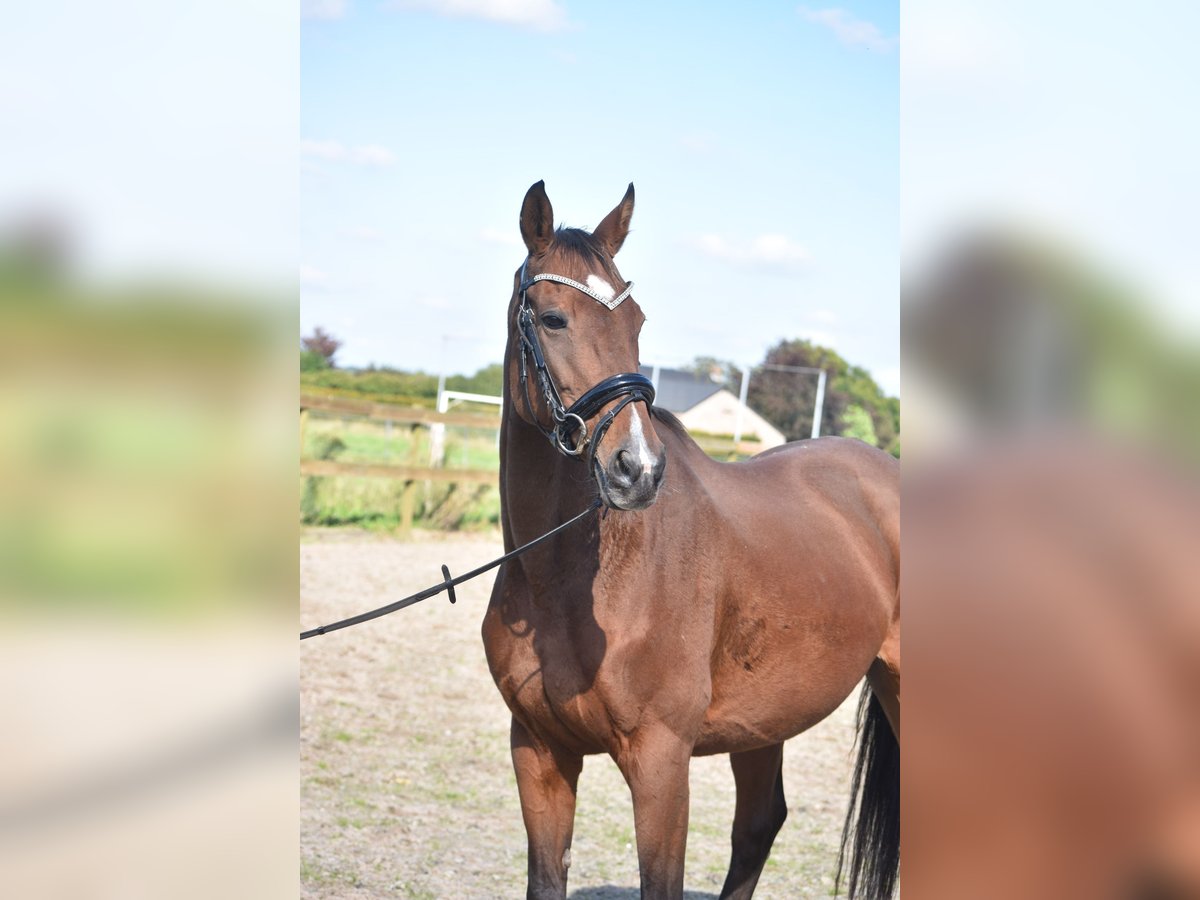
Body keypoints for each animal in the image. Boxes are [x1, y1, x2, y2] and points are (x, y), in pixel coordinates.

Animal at [480, 183, 902, 900]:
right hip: (765, 721)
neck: (568, 582)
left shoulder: (660, 762)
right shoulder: (538, 750)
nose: (639, 468)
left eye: (637, 321)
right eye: (553, 318)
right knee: (758, 826)